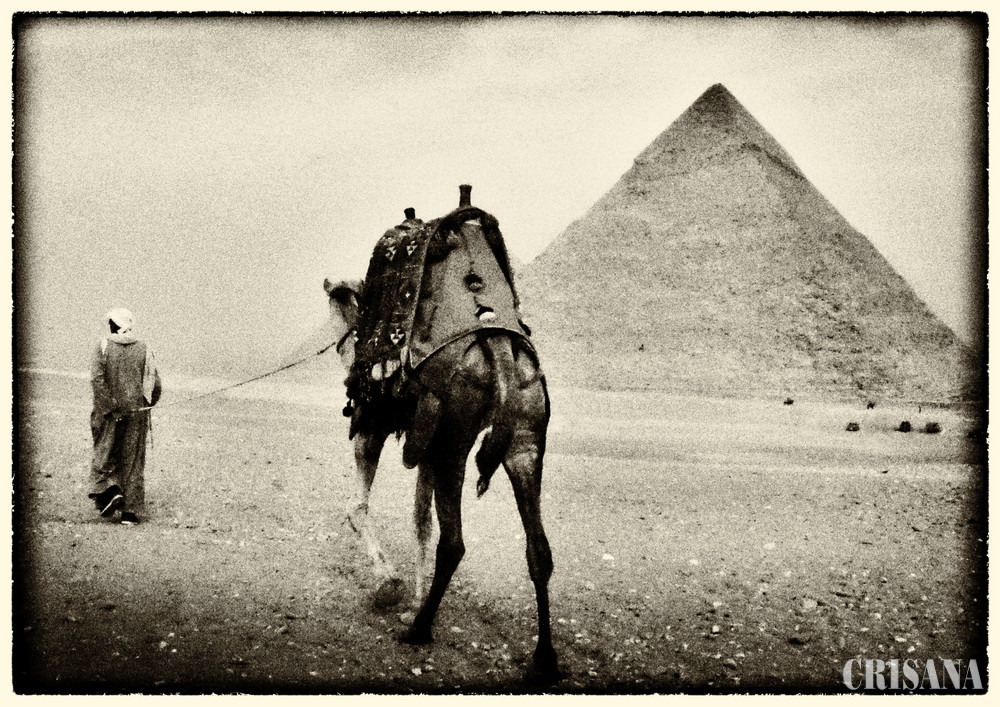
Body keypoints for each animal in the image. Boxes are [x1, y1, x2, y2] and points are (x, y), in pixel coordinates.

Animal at [321, 194, 560, 683]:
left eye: (338, 309)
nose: (338, 346)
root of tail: (499, 349)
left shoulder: (374, 423)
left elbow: (359, 506)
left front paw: (390, 586)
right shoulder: (426, 442)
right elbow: (420, 518)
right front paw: (411, 593)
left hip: (456, 439)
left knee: (455, 542)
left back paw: (420, 629)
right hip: (527, 435)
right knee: (539, 550)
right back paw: (544, 658)